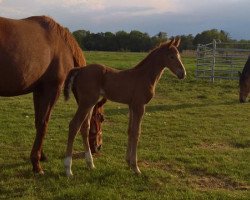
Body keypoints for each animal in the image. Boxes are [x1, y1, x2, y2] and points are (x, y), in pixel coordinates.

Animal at [0, 15, 86, 173]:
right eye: (101, 119)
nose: (98, 147)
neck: (63, 46)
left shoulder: (38, 91)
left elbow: (38, 123)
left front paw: (41, 155)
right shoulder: (52, 90)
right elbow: (43, 123)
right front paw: (36, 164)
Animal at [63, 37, 187, 175]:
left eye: (179, 55)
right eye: (171, 56)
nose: (183, 73)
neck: (144, 76)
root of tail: (80, 69)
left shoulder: (131, 106)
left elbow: (130, 131)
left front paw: (128, 162)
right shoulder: (140, 106)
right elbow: (137, 133)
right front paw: (135, 167)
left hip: (90, 103)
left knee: (85, 127)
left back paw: (90, 164)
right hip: (86, 102)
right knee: (74, 125)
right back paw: (68, 169)